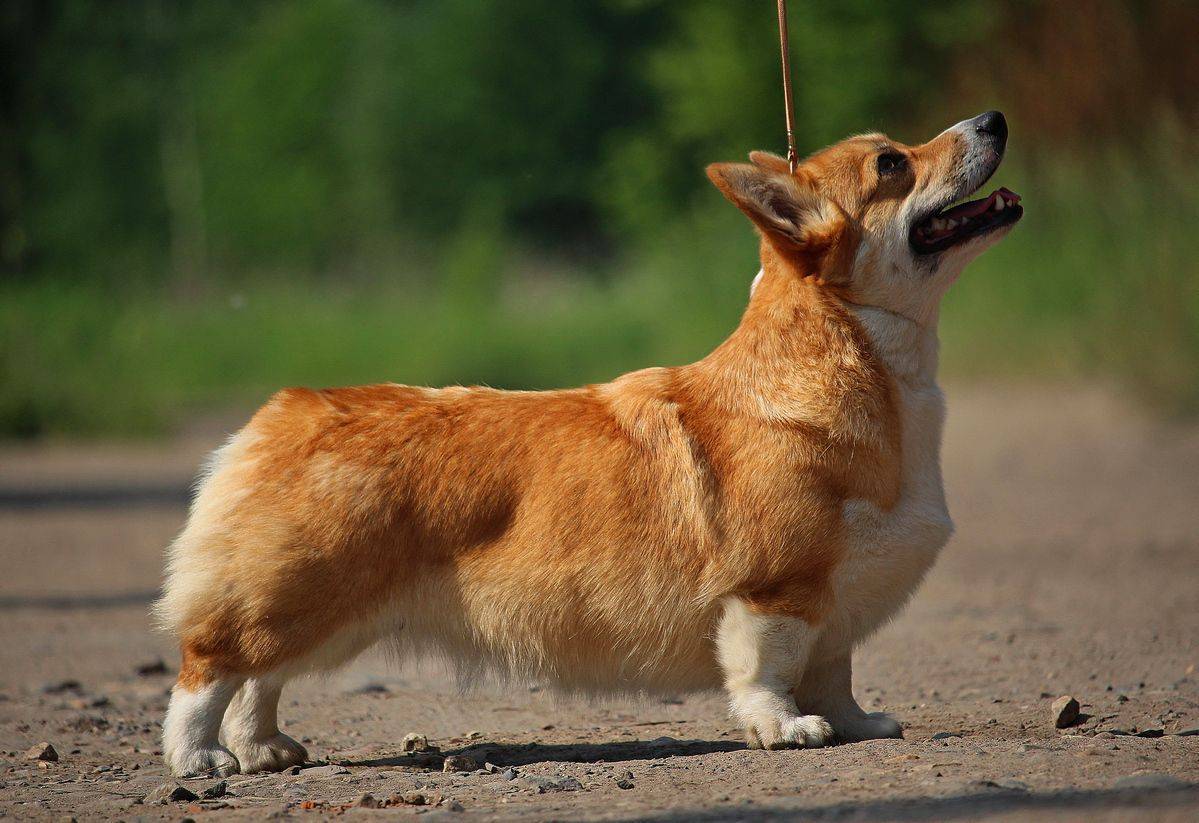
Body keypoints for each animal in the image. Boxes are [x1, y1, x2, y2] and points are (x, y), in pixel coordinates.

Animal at [159, 110, 1021, 782]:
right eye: (890, 163)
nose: (994, 120)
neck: (865, 367)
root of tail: (285, 413)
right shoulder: (777, 587)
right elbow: (768, 668)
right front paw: (785, 729)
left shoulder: (835, 602)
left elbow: (834, 670)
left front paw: (855, 722)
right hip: (300, 592)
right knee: (210, 666)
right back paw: (201, 759)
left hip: (326, 611)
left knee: (262, 678)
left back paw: (265, 748)